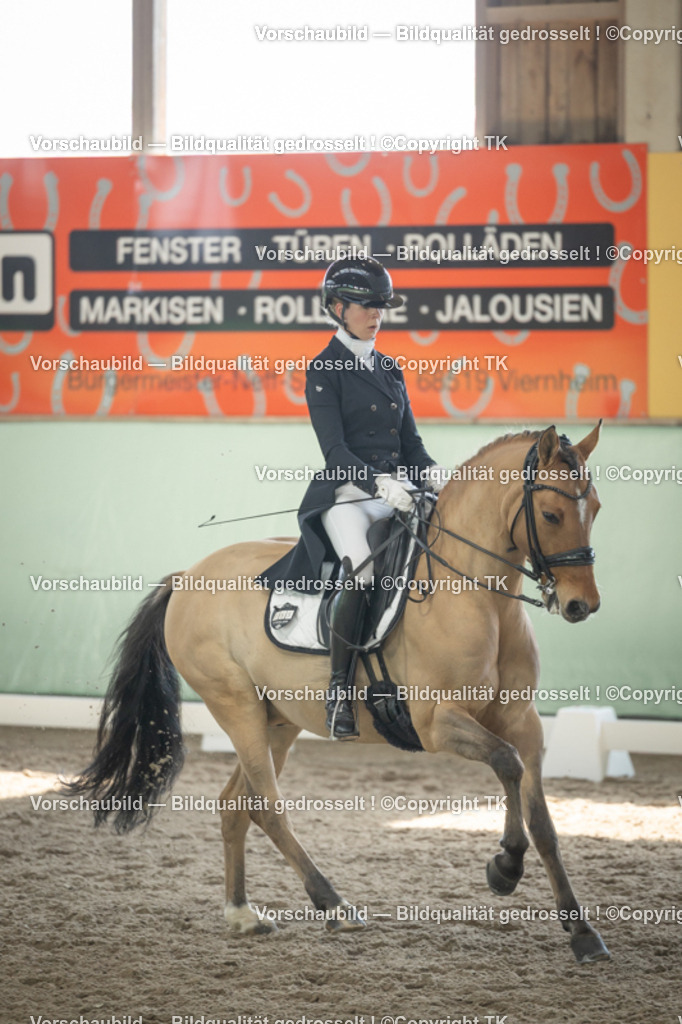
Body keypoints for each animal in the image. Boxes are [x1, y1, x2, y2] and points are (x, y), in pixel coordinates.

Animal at [67, 423, 610, 963]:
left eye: (598, 509)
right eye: (551, 514)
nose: (580, 605)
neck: (479, 597)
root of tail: (188, 577)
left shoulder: (523, 721)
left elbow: (542, 819)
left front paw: (581, 930)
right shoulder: (435, 722)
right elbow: (506, 762)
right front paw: (505, 867)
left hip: (277, 719)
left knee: (236, 803)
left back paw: (242, 913)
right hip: (236, 706)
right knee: (267, 806)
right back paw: (335, 905)